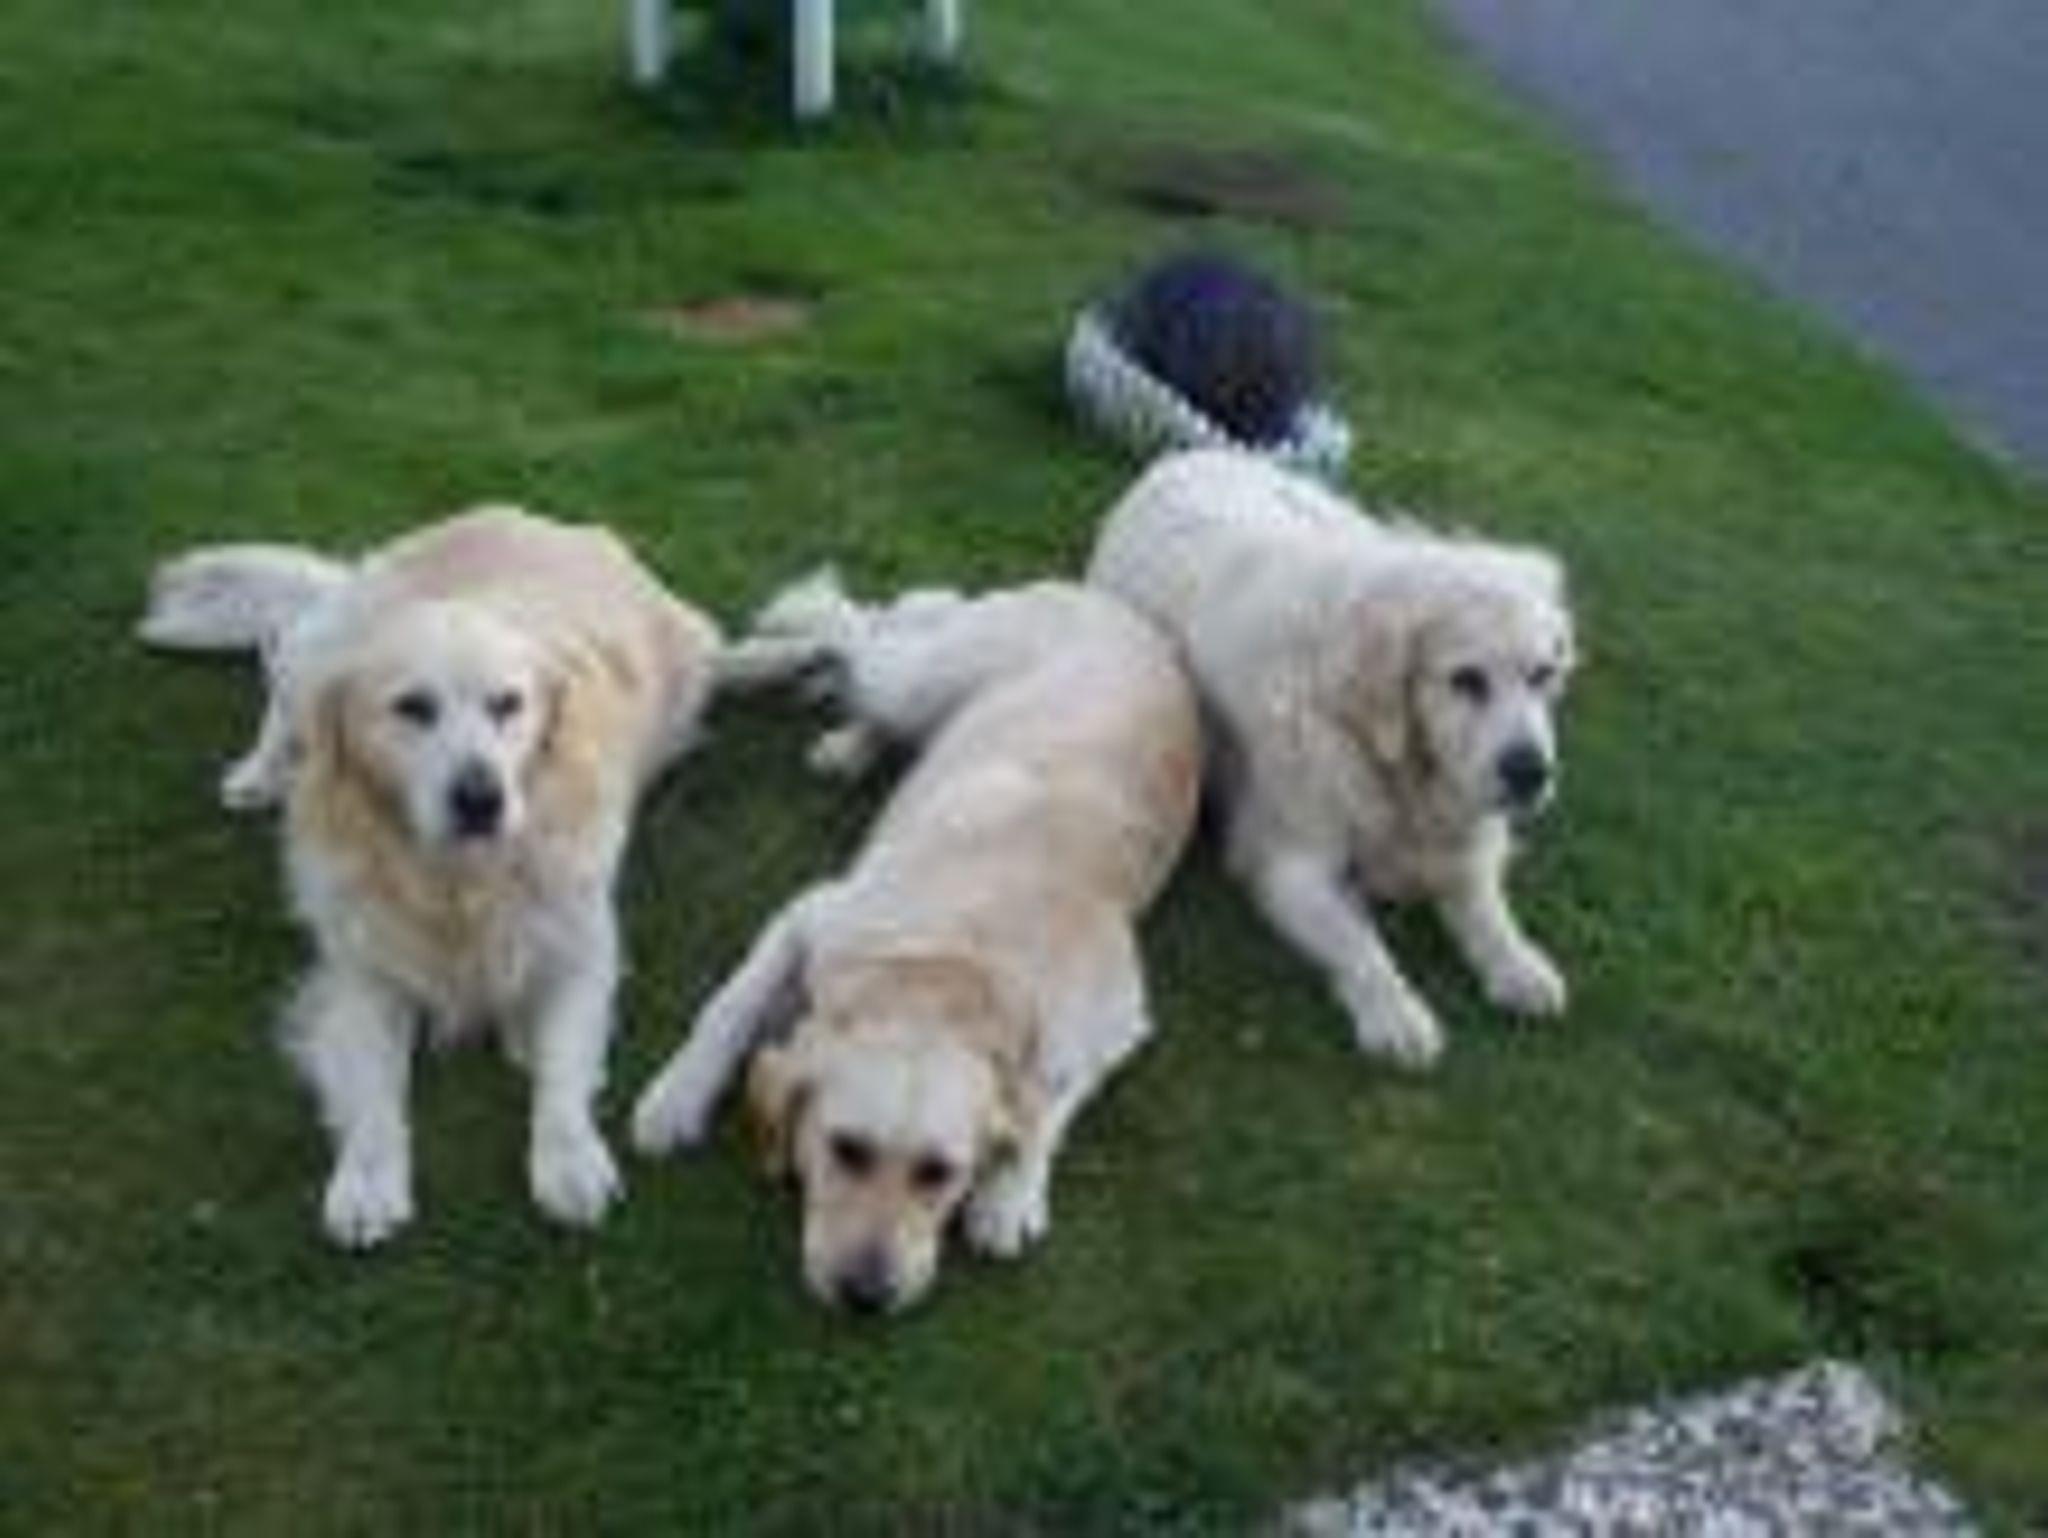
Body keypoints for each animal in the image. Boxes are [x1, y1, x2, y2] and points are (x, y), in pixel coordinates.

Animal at [139, 507, 721, 1245]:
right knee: (284, 668)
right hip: (322, 647)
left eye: (509, 704)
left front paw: (569, 1156)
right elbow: (372, 1090)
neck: (456, 884)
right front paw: (366, 1178)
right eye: (412, 707)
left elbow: (562, 1069)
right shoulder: (361, 972)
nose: (481, 799)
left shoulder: (583, 949)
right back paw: (260, 771)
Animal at [632, 573, 1200, 1314]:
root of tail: (1109, 602)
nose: (867, 1295)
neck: (949, 969)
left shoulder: (1119, 1018)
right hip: (922, 674)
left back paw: (850, 737)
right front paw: (676, 1096)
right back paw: (778, 656)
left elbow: (1050, 1098)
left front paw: (1009, 1193)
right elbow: (726, 1010)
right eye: (846, 1149)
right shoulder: (811, 912)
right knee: (857, 628)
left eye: (939, 1173)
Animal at [1089, 449, 1576, 1068]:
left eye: (1544, 674)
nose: (1532, 774)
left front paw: (1518, 963)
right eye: (1466, 680)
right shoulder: (1288, 866)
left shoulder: (1467, 837)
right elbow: (1359, 942)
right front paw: (1395, 1010)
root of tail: (1186, 455)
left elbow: (1486, 908)